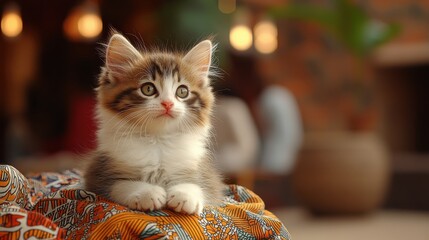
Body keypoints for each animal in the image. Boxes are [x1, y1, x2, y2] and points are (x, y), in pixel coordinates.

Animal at [83, 32, 224, 215]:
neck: (158, 139)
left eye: (182, 91)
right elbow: (121, 184)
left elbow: (199, 186)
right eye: (148, 89)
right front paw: (148, 193)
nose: (167, 104)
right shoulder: (100, 173)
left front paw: (185, 195)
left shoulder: (204, 173)